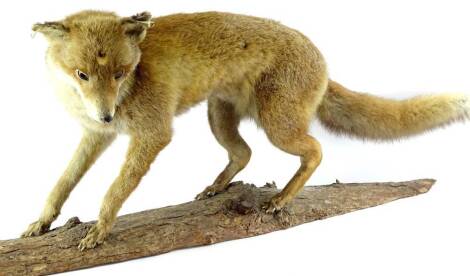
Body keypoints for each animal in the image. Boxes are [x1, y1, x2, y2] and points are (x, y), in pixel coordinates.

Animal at [23, 9, 470, 250]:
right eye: (82, 74)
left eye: (120, 73)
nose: (107, 114)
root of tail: (324, 64)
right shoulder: (95, 136)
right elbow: (62, 183)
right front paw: (41, 223)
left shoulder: (153, 134)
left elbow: (113, 192)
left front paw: (100, 229)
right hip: (219, 117)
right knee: (244, 153)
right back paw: (217, 187)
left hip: (277, 127)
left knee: (315, 150)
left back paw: (282, 199)